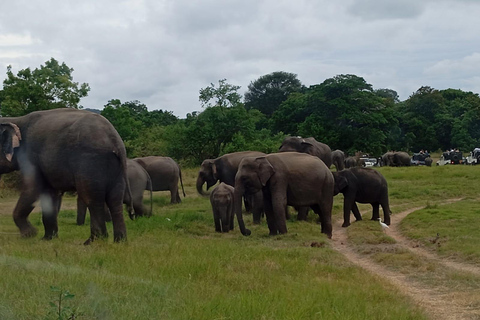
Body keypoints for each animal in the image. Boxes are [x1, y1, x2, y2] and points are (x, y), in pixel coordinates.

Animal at [0, 107, 129, 242]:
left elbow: (33, 188)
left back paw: (93, 242)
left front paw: (30, 234)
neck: (15, 119)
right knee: (115, 199)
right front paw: (47, 239)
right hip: (116, 167)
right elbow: (50, 193)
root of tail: (115, 140)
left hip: (90, 162)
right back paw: (120, 241)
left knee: (92, 198)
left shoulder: (29, 156)